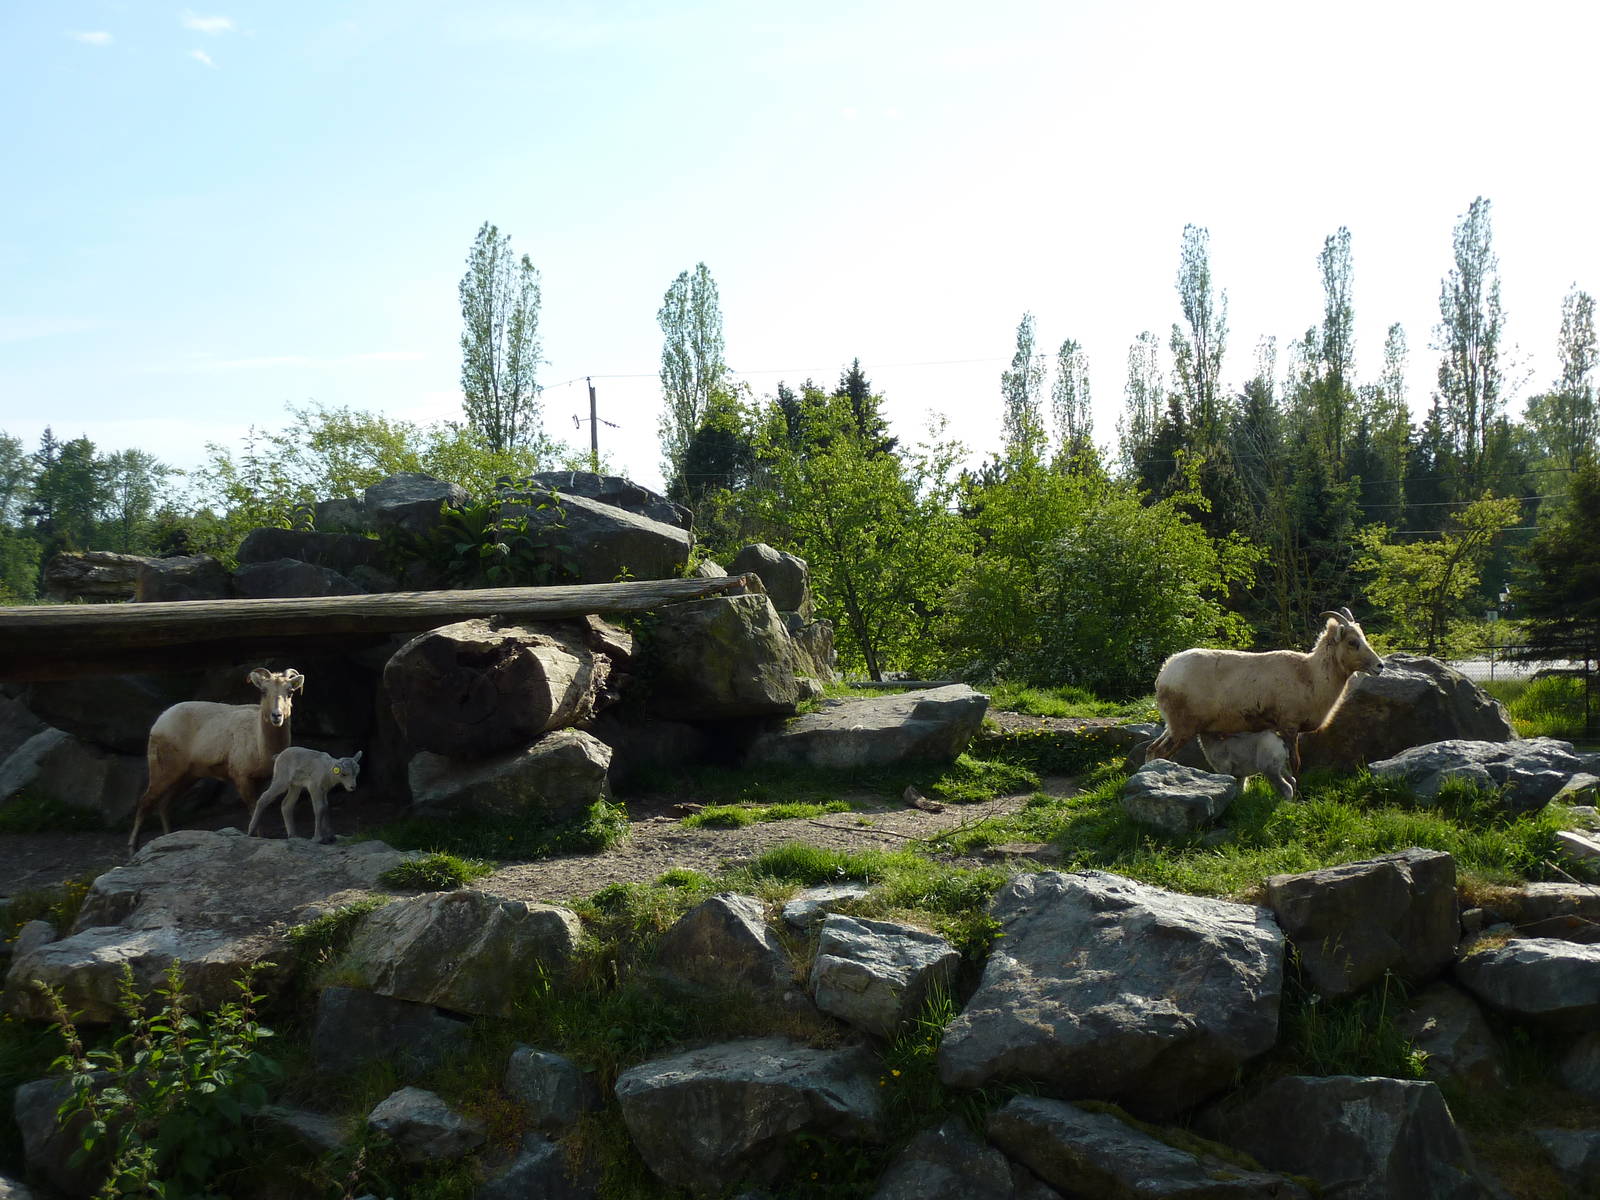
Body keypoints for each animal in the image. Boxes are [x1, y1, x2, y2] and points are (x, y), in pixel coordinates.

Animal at [127, 667, 305, 851]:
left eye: (290, 692)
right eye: (263, 691)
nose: (277, 716)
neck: (260, 744)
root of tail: (160, 721)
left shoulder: (261, 780)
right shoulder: (241, 777)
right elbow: (253, 808)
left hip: (187, 776)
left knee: (164, 805)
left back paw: (167, 836)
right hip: (163, 770)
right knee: (146, 801)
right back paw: (132, 848)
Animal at [1146, 608, 1382, 784]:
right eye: (1352, 642)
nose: (1380, 666)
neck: (1310, 675)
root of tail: (1164, 672)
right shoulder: (1289, 726)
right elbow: (1295, 763)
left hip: (1172, 727)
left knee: (1151, 750)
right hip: (1182, 728)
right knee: (1160, 753)